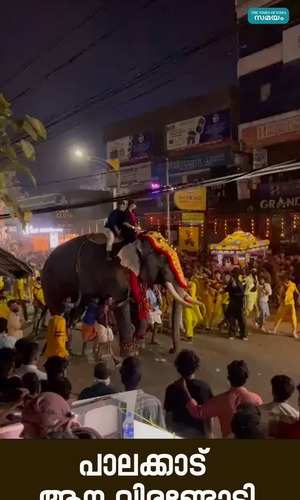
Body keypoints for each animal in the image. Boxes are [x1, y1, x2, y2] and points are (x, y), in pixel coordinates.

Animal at [41, 230, 198, 356]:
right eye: (163, 259)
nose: (172, 350)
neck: (132, 241)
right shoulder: (116, 276)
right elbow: (121, 306)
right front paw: (130, 354)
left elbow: (137, 306)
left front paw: (136, 346)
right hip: (50, 283)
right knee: (58, 311)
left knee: (75, 312)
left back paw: (72, 348)